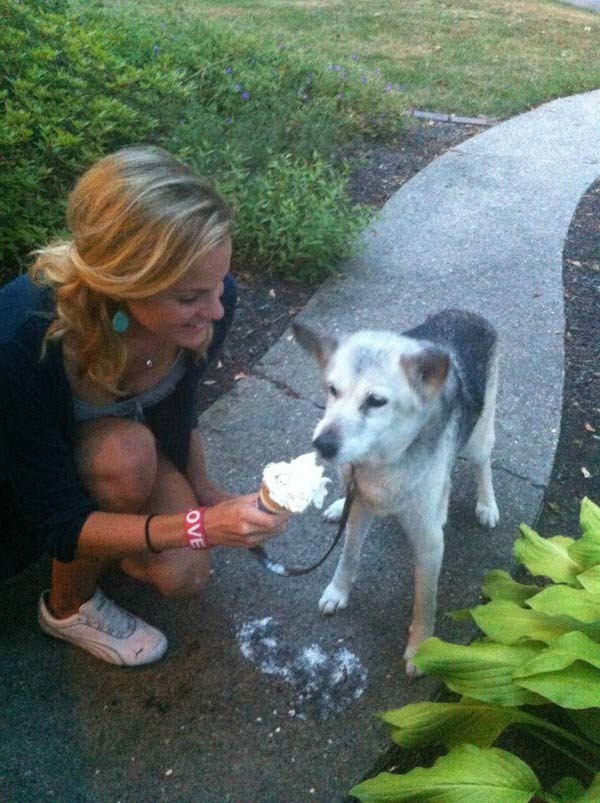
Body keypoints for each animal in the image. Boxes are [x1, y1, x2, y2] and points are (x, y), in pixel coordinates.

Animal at [292, 310, 500, 676]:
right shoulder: (360, 506)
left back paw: (486, 503)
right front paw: (338, 590)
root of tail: (467, 313)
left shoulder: (429, 544)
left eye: (376, 401)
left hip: (478, 437)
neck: (382, 464)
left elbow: (425, 601)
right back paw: (338, 505)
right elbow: (348, 555)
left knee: (482, 463)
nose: (323, 444)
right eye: (332, 390)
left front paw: (421, 649)